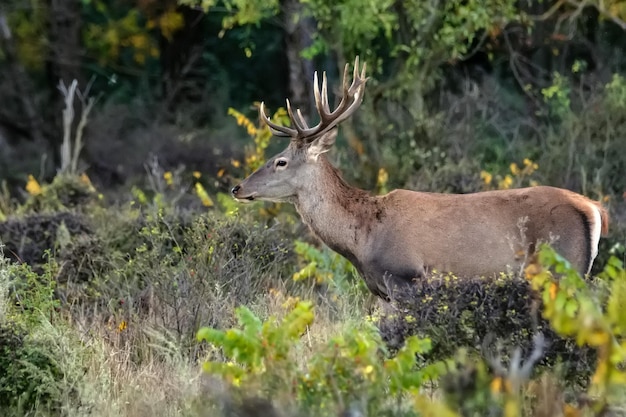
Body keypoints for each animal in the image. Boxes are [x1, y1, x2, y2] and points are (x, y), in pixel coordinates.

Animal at [229, 57, 604, 300]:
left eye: (280, 162)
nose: (237, 187)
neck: (362, 238)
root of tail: (593, 208)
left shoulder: (405, 276)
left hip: (563, 266)